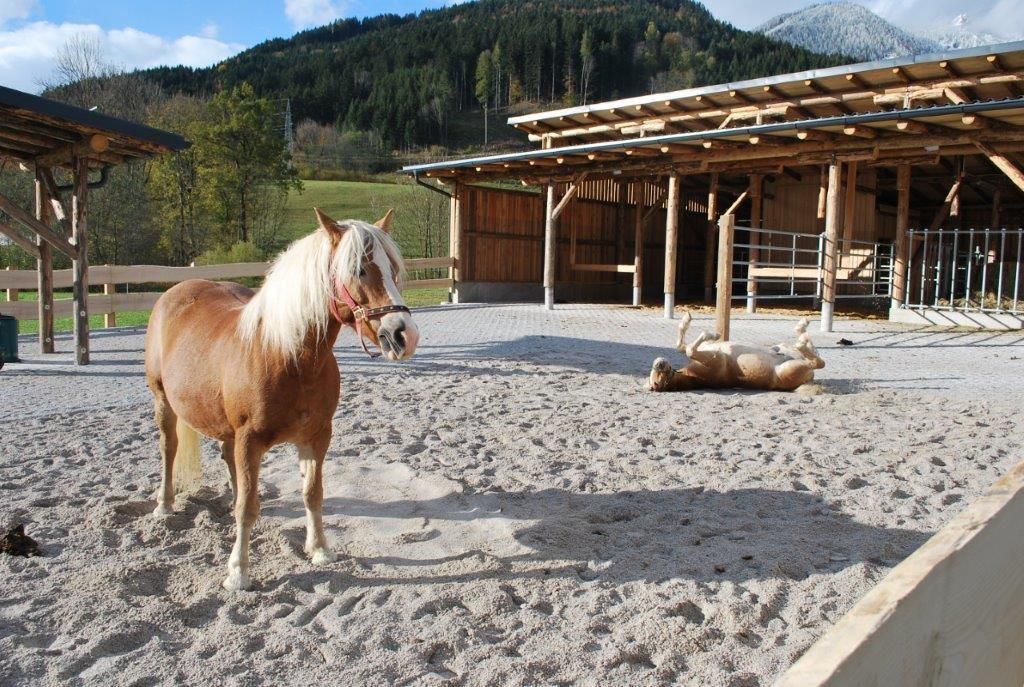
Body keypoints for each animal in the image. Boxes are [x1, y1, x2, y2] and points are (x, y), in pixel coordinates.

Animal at [143, 206, 415, 589]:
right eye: (359, 270)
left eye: (393, 269)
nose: (404, 335)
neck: (286, 356)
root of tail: (177, 290)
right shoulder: (250, 440)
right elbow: (247, 508)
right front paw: (238, 572)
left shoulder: (316, 436)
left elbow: (312, 494)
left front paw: (319, 549)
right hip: (163, 401)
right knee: (169, 448)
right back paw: (164, 505)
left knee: (228, 459)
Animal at [647, 311, 823, 393]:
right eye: (656, 382)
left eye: (655, 376)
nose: (659, 364)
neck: (694, 374)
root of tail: (809, 379)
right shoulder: (714, 358)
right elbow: (690, 349)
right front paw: (714, 334)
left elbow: (681, 345)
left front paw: (686, 319)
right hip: (790, 368)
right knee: (818, 362)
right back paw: (802, 337)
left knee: (813, 353)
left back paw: (802, 328)